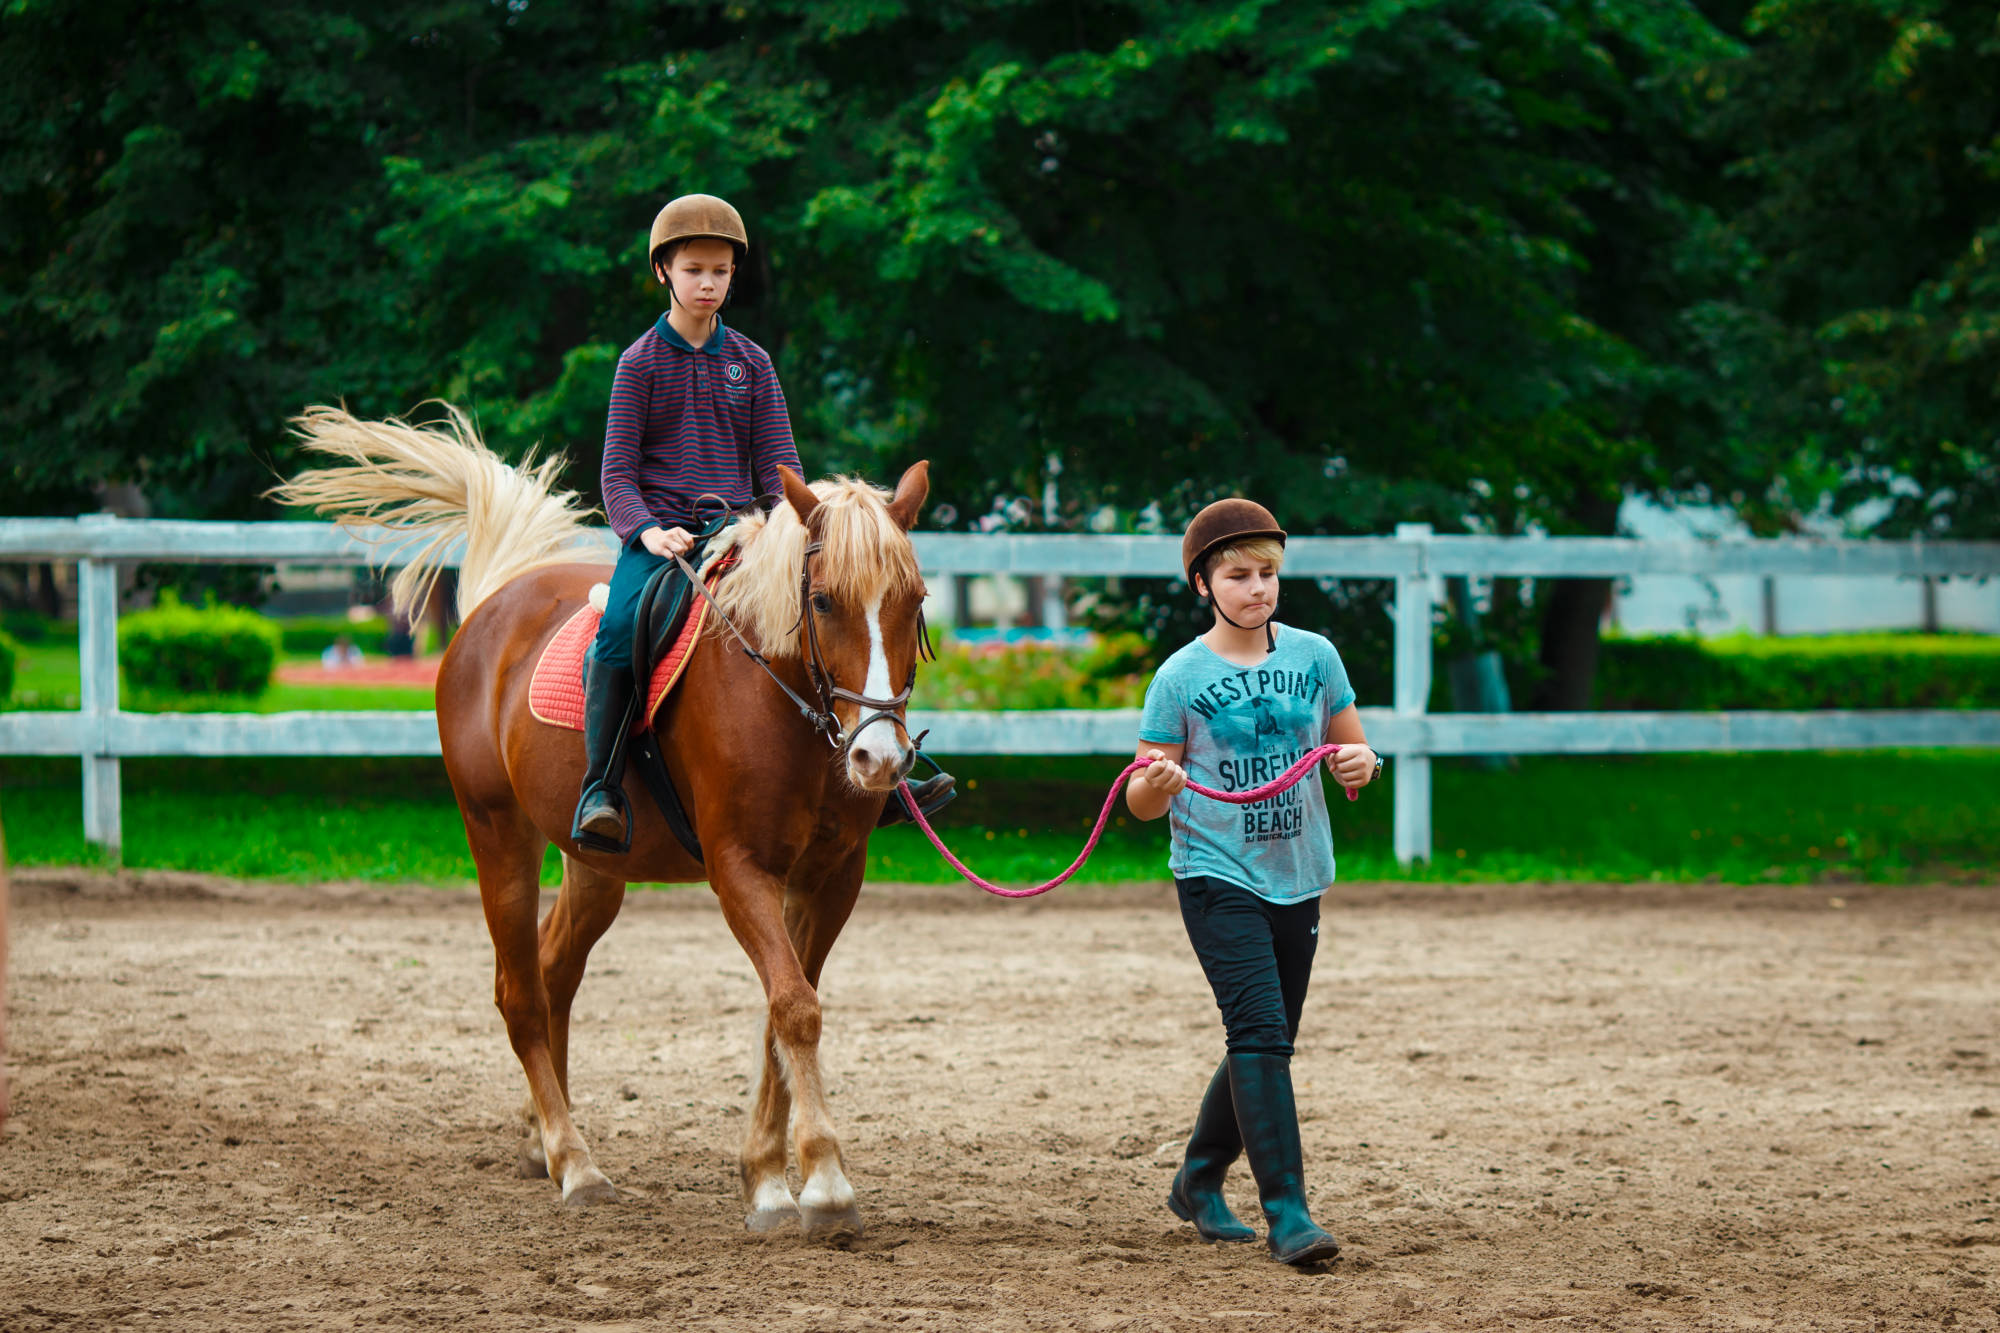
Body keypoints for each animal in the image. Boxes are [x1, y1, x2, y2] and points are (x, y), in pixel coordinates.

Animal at [278, 404, 932, 1232]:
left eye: (916, 600)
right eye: (823, 602)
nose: (879, 756)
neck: (784, 703)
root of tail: (496, 602)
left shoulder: (833, 876)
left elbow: (781, 1014)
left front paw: (769, 1174)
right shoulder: (740, 869)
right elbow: (794, 1007)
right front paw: (820, 1182)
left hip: (593, 862)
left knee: (555, 969)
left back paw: (540, 1138)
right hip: (497, 833)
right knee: (521, 992)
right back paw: (573, 1160)